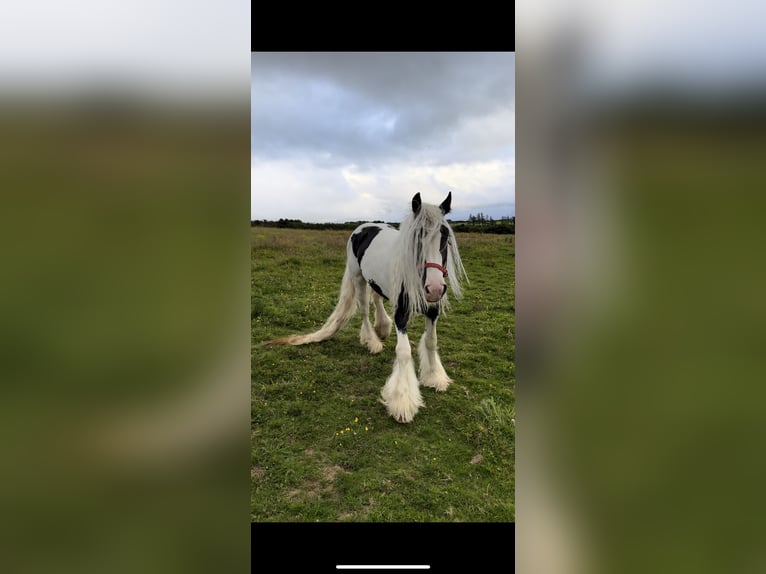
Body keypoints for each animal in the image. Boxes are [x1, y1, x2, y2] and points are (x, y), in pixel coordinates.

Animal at [264, 194, 468, 424]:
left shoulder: (432, 310)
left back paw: (382, 328)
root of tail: (363, 226)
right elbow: (404, 351)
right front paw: (402, 402)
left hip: (375, 281)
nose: (434, 288)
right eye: (417, 238)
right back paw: (372, 341)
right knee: (363, 310)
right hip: (358, 279)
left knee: (377, 300)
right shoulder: (402, 313)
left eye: (445, 237)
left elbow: (432, 341)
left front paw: (434, 377)